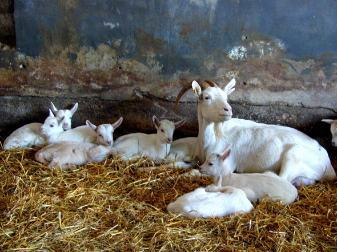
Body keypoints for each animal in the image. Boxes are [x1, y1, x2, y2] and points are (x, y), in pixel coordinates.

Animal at [175, 79, 334, 185]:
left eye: (226, 97)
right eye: (207, 97)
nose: (228, 109)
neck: (212, 137)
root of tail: (328, 164)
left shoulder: (225, 164)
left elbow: (195, 171)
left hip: (294, 155)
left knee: (282, 178)